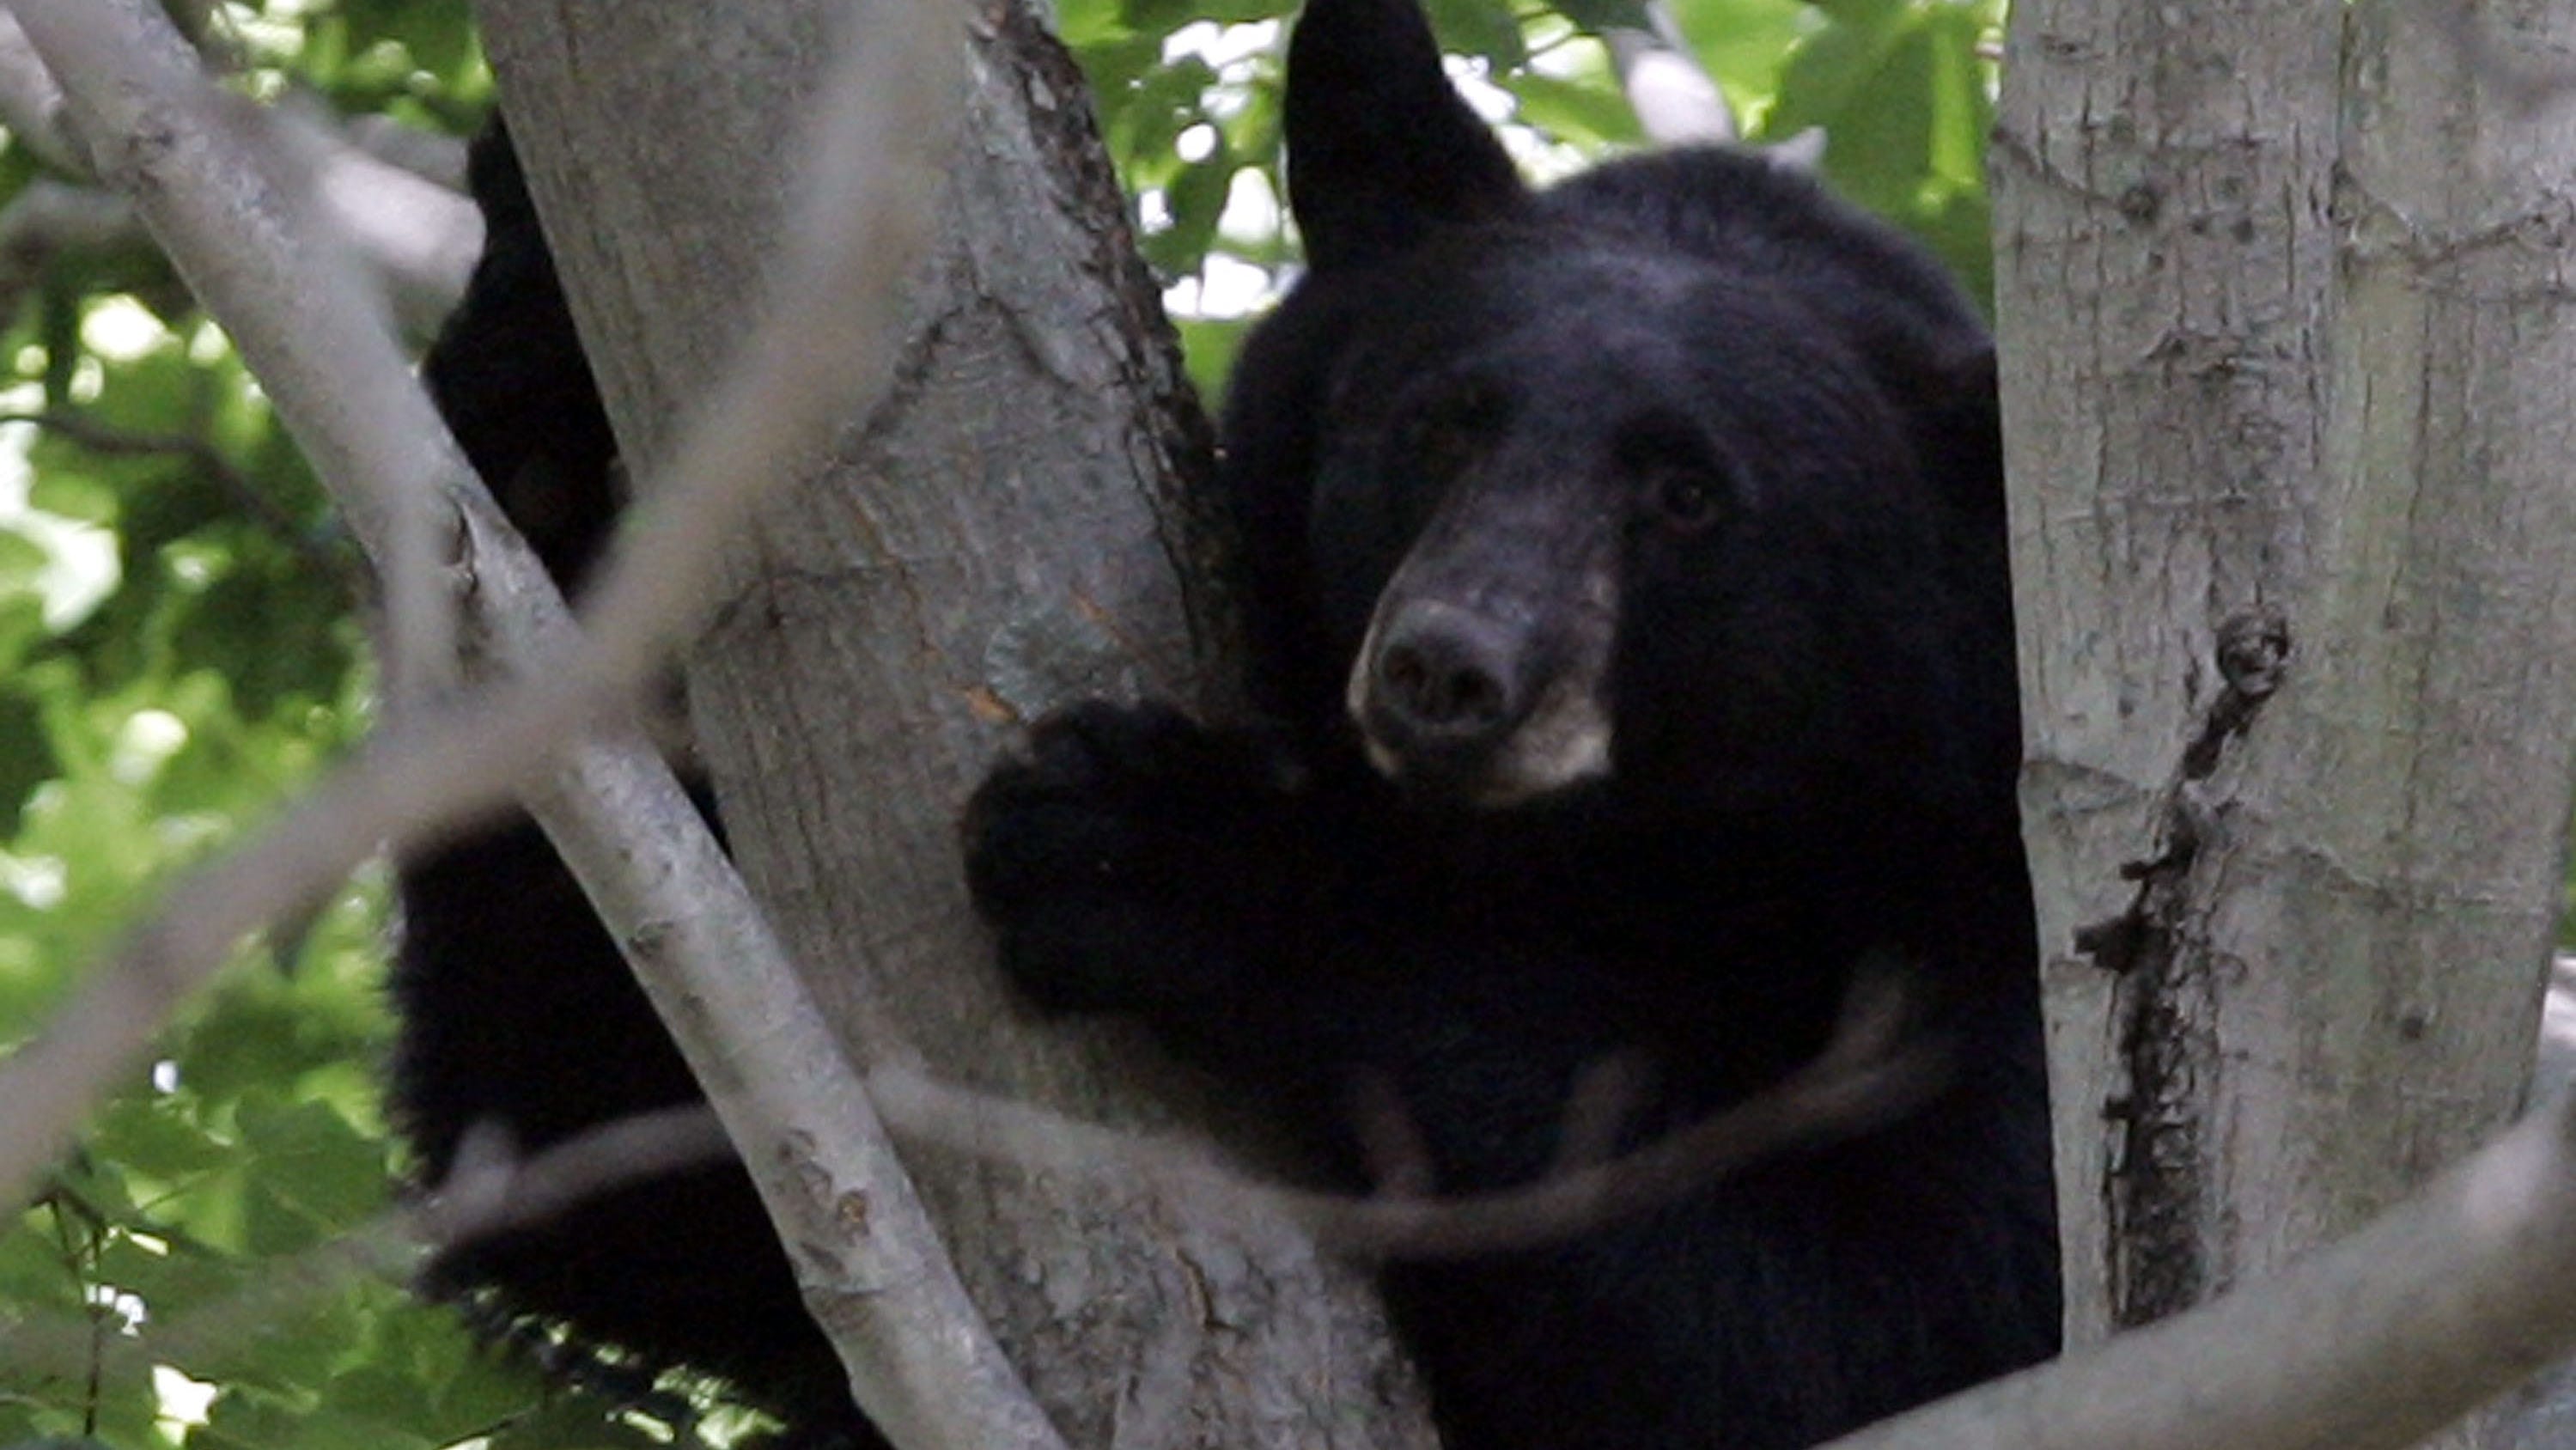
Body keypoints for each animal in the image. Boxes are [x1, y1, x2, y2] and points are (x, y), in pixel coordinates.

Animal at [958, 0, 2061, 1442]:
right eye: (1441, 424)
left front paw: (1151, 839)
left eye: (1686, 495)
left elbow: (1881, 1305)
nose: (1445, 668)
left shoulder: (1997, 886)